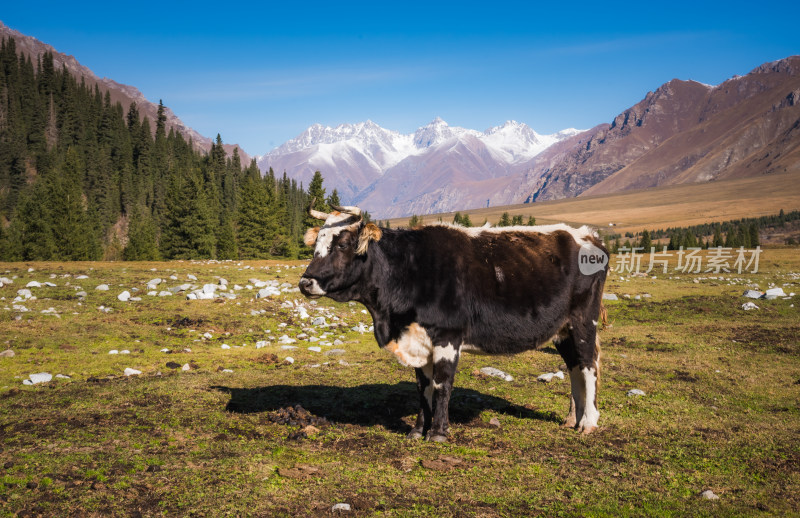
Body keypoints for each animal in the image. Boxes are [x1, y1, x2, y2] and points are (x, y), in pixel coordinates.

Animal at [298, 203, 608, 442]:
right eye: (316, 245)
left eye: (342, 244)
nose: (305, 282)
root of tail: (588, 234)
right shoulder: (419, 340)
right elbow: (422, 387)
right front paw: (417, 431)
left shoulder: (447, 336)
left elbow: (442, 384)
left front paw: (438, 432)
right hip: (563, 330)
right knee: (574, 367)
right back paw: (572, 419)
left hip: (583, 322)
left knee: (588, 365)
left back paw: (589, 422)